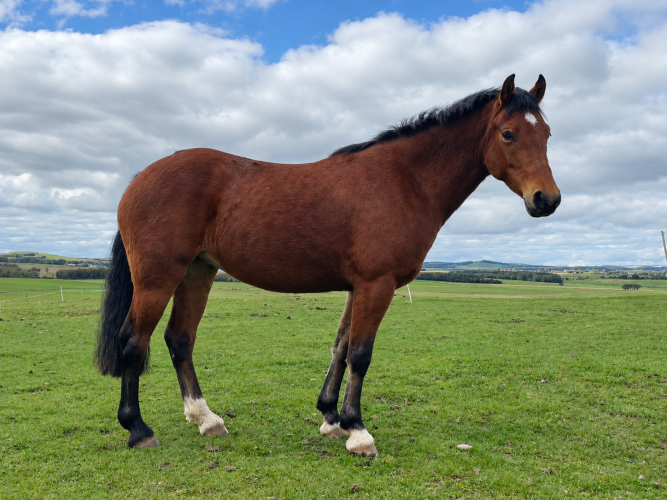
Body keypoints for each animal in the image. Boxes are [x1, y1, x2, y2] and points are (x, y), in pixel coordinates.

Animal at [95, 74, 560, 457]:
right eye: (508, 134)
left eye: (547, 134)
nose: (547, 199)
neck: (405, 180)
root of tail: (139, 180)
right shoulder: (377, 284)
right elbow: (360, 354)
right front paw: (358, 432)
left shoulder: (360, 286)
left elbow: (339, 348)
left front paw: (331, 418)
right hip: (158, 279)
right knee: (134, 342)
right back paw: (138, 429)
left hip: (197, 272)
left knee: (180, 340)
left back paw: (206, 419)